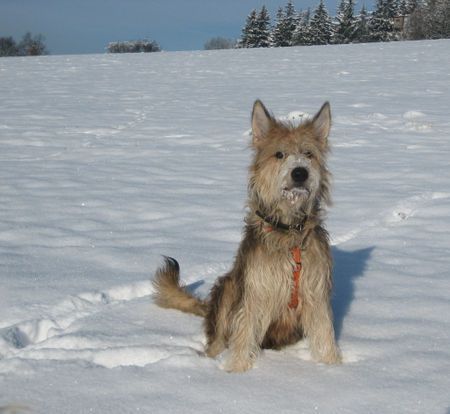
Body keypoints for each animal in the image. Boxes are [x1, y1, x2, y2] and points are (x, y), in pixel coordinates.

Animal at [154, 99, 342, 372]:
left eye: (308, 154)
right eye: (279, 154)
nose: (300, 172)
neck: (289, 233)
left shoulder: (315, 292)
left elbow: (324, 332)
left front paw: (333, 366)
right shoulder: (255, 290)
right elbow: (244, 333)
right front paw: (238, 371)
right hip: (228, 286)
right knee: (219, 338)